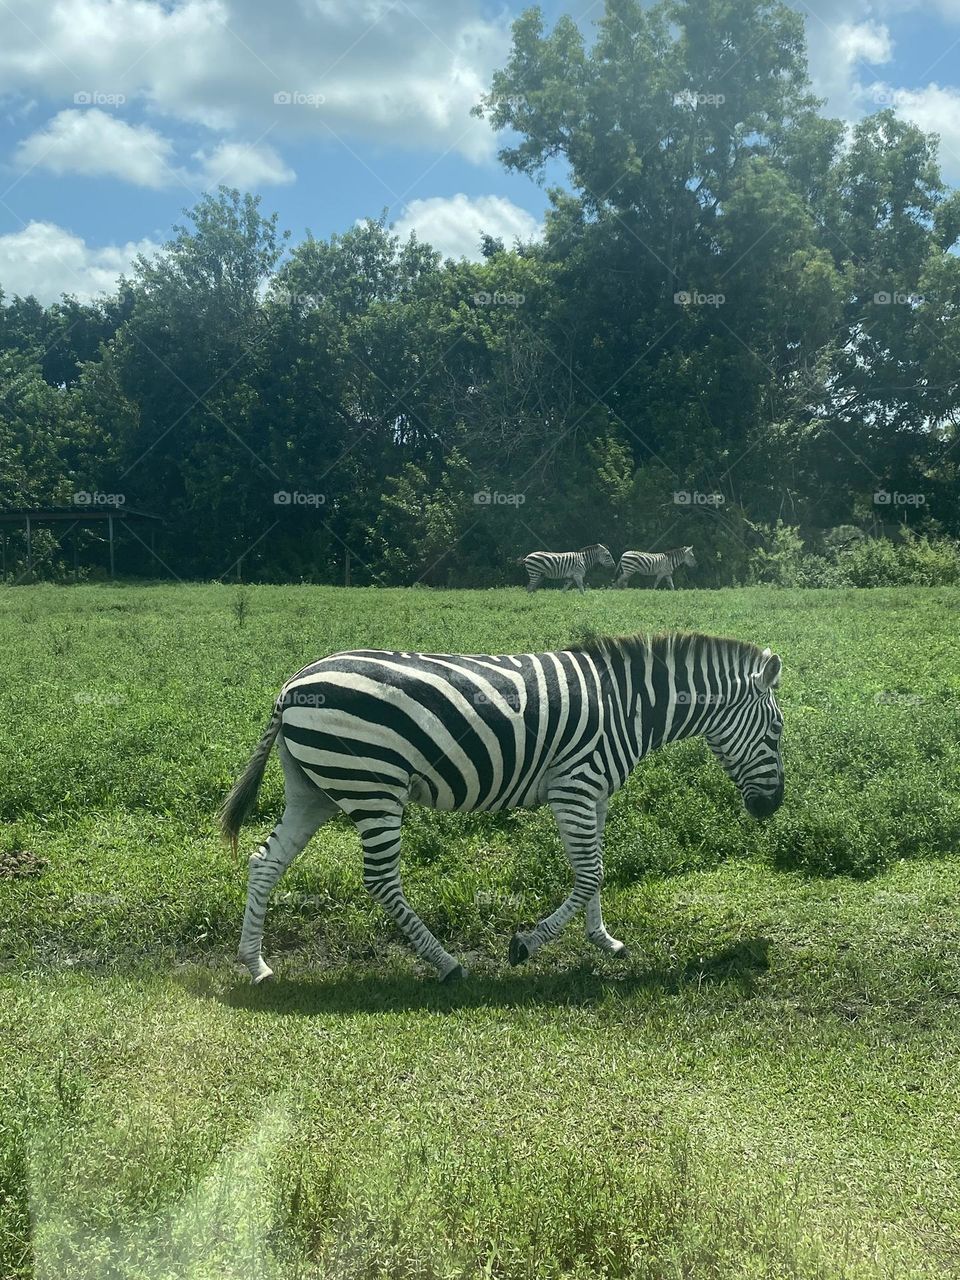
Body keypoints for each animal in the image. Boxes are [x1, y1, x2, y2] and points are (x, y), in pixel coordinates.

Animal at [220, 630, 784, 984]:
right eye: (777, 730)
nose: (772, 806)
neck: (629, 708)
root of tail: (293, 686)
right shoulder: (574, 787)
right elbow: (590, 874)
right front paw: (527, 945)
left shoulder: (595, 794)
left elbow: (597, 873)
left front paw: (604, 940)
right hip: (373, 784)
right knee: (380, 880)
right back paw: (446, 964)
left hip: (314, 788)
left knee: (264, 862)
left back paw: (255, 964)